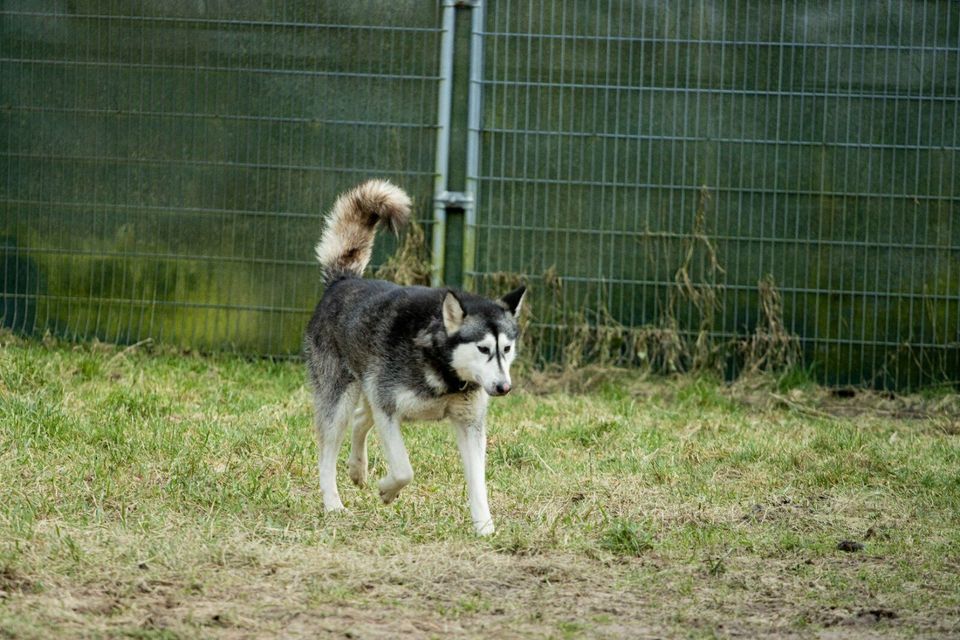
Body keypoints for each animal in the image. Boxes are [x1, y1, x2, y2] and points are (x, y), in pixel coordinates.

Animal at [304, 180, 524, 536]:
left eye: (506, 349)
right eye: (482, 349)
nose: (504, 387)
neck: (441, 367)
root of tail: (343, 281)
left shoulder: (470, 424)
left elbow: (478, 483)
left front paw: (485, 529)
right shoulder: (389, 411)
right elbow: (404, 469)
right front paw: (387, 490)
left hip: (368, 391)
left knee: (360, 419)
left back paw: (357, 470)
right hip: (339, 399)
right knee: (328, 452)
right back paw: (333, 504)